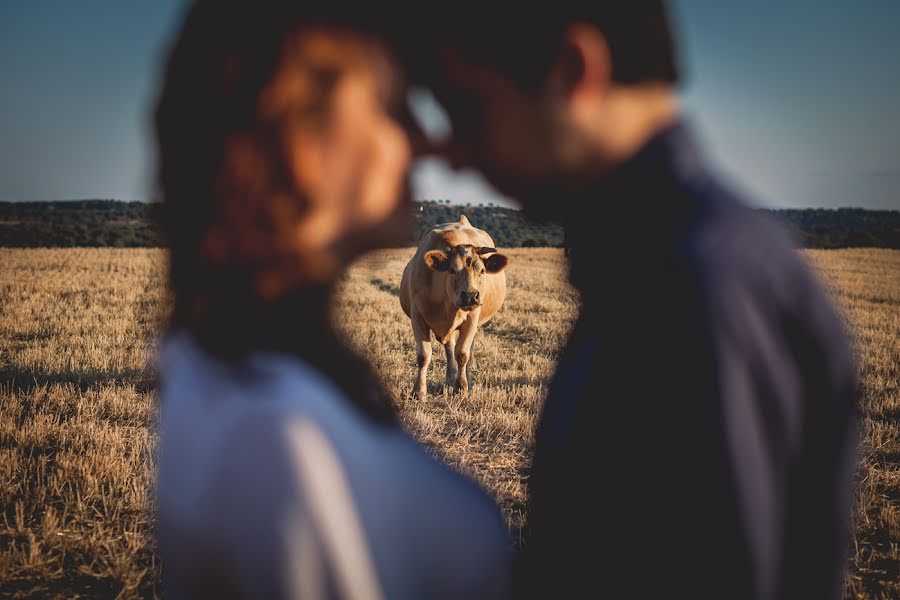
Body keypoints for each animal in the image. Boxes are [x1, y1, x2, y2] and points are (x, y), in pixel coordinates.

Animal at [400, 214, 506, 398]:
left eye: (482, 271)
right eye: (452, 270)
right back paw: (450, 377)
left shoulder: (472, 318)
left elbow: (462, 353)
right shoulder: (417, 317)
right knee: (449, 347)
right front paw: (419, 391)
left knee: (467, 348)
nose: (471, 295)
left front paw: (462, 387)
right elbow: (423, 356)